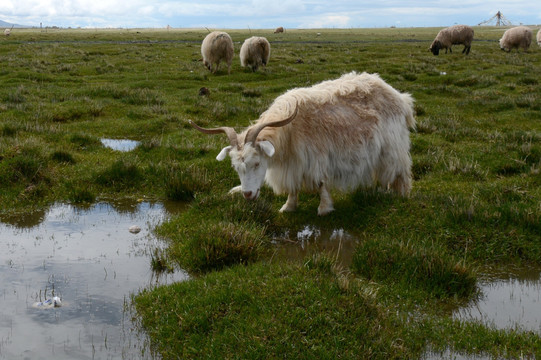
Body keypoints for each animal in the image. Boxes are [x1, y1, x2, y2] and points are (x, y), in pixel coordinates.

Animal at [190, 71, 414, 215]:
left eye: (257, 163)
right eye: (235, 167)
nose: (247, 194)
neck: (290, 130)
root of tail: (401, 98)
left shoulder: (317, 158)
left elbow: (321, 183)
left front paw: (324, 209)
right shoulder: (294, 163)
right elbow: (293, 186)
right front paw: (288, 207)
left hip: (393, 146)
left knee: (400, 170)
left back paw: (401, 194)